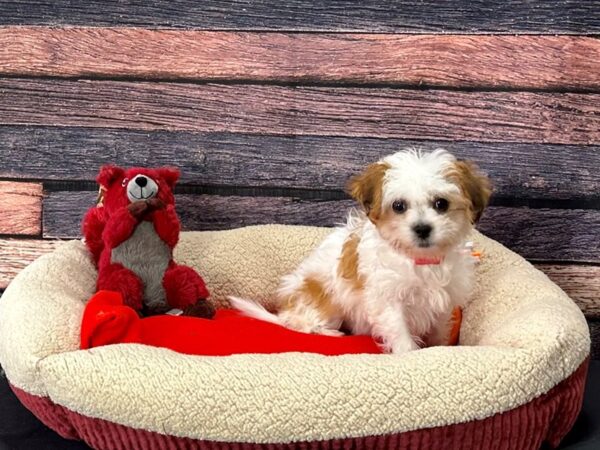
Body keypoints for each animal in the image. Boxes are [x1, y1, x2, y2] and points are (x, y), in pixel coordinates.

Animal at [231, 149, 492, 354]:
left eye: (441, 204)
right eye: (399, 206)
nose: (422, 228)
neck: (420, 260)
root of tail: (285, 309)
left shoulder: (443, 302)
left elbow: (438, 330)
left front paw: (439, 348)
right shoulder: (387, 299)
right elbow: (400, 332)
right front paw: (409, 353)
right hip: (324, 297)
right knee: (300, 323)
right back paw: (329, 333)